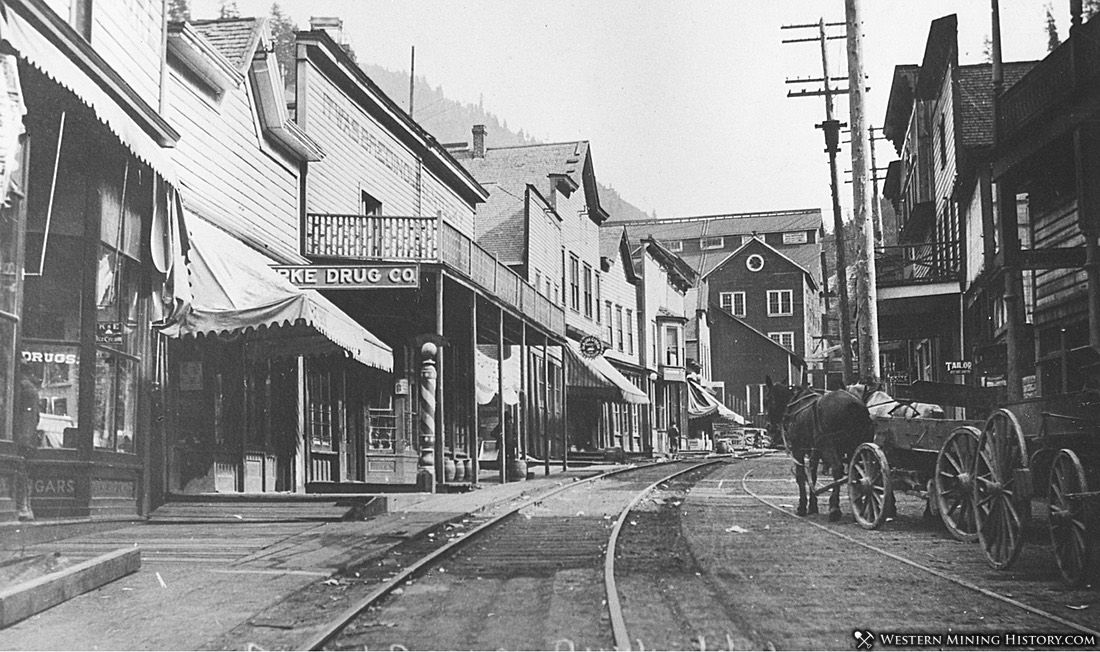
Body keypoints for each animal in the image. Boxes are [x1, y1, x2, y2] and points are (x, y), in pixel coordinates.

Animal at [765, 376, 875, 518]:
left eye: (767, 399)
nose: (769, 427)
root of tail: (853, 404)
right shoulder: (815, 450)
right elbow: (812, 474)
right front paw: (813, 505)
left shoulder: (797, 448)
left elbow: (801, 475)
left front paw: (802, 507)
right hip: (856, 447)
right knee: (857, 471)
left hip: (829, 445)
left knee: (838, 469)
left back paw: (835, 508)